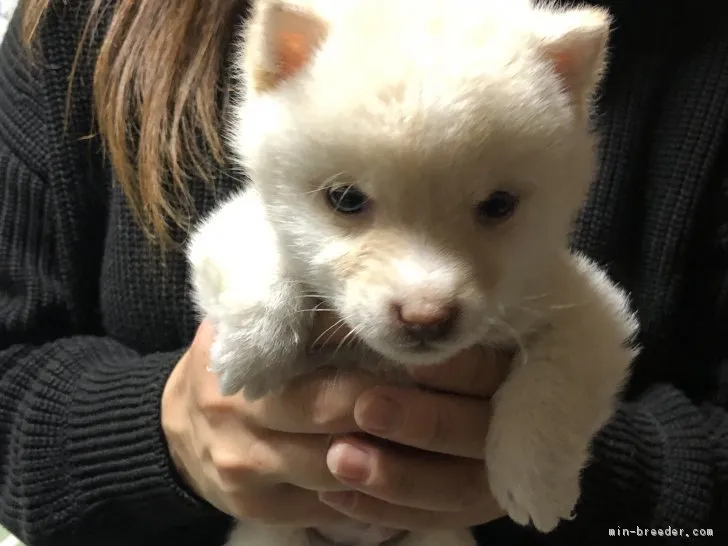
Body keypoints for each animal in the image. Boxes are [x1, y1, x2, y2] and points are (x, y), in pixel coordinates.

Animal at [186, 2, 636, 540]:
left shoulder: (585, 305)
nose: (426, 317)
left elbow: (555, 382)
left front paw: (534, 481)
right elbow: (262, 250)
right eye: (346, 199)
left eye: (498, 205)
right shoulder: (231, 224)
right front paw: (256, 347)